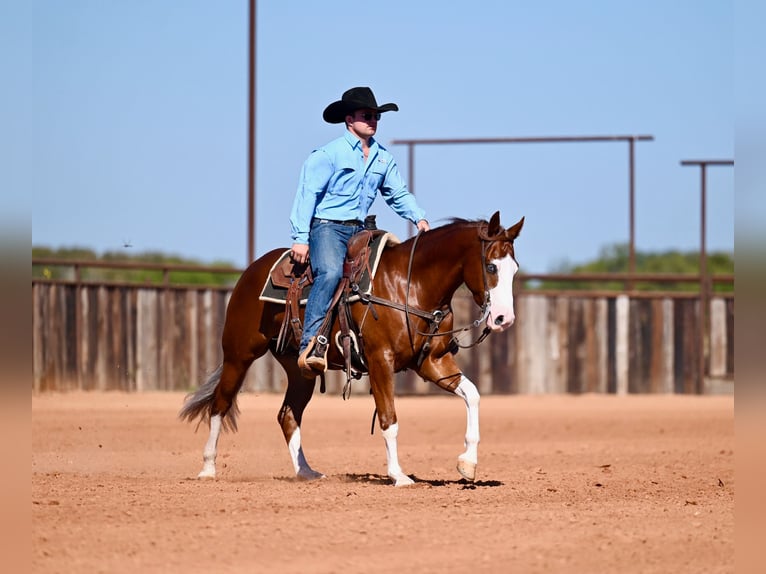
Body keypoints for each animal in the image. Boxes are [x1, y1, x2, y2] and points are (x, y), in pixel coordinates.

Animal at [179, 211, 524, 486]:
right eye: (491, 267)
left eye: (515, 269)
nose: (504, 318)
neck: (410, 285)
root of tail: (252, 271)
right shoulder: (380, 360)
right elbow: (389, 418)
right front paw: (399, 476)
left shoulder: (433, 362)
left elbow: (473, 395)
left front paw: (467, 463)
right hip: (238, 354)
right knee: (220, 404)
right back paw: (208, 469)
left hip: (299, 369)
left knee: (287, 414)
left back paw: (305, 472)